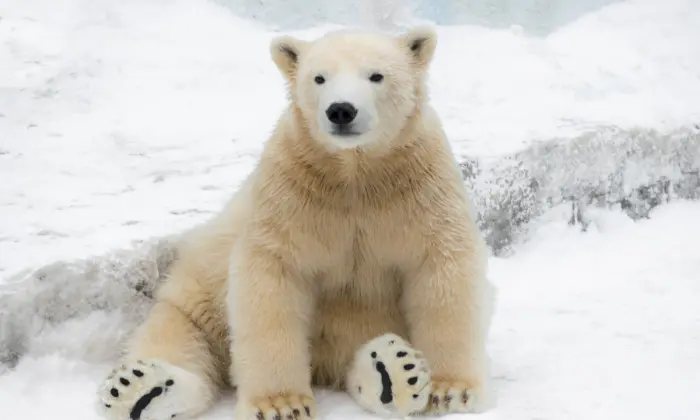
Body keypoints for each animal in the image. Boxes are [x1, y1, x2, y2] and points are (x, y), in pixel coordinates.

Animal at [95, 27, 492, 420]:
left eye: (376, 75)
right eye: (319, 78)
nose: (341, 110)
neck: (355, 173)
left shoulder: (418, 186)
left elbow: (442, 270)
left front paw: (450, 390)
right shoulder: (292, 192)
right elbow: (272, 279)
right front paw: (281, 404)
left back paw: (392, 370)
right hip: (197, 294)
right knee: (178, 335)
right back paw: (141, 388)